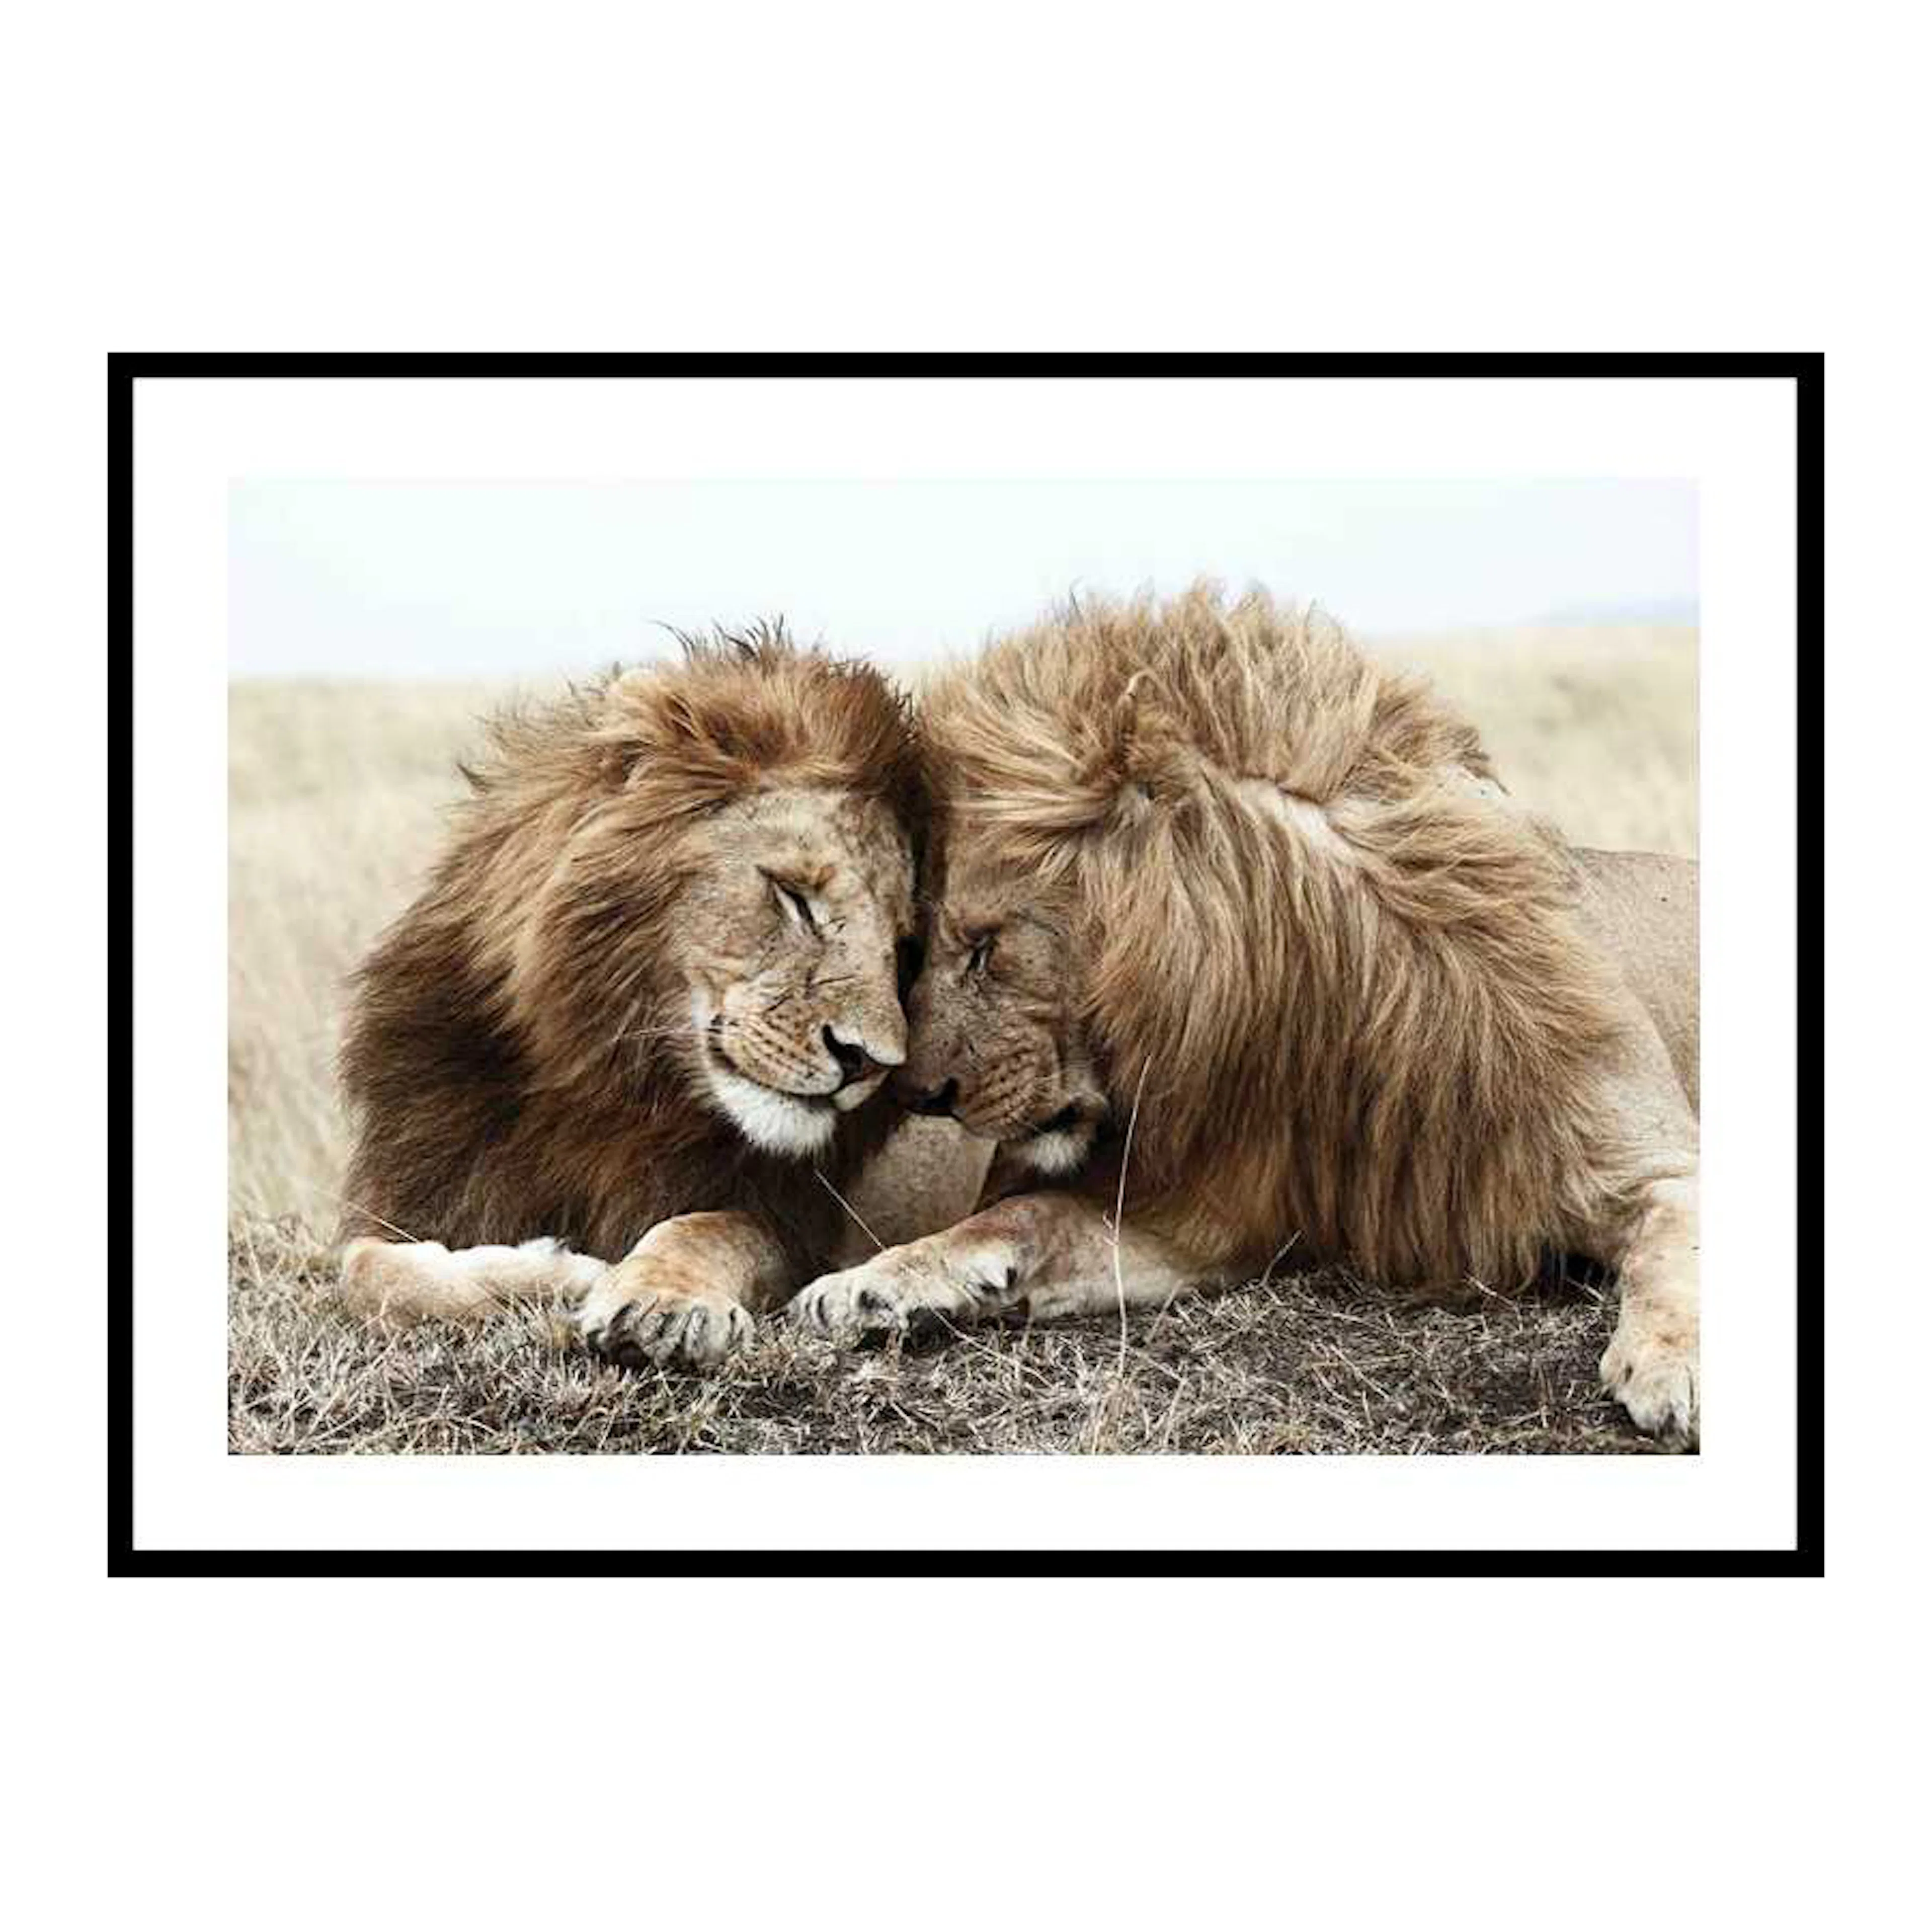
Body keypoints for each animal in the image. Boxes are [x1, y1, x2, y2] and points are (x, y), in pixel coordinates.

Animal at [336, 625, 930, 1371]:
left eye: (903, 947)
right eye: (795, 897)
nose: (869, 1063)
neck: (609, 1081)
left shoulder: (794, 1223)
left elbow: (707, 1227)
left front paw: (658, 1303)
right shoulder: (417, 1193)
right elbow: (365, 1271)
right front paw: (554, 1273)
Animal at [788, 585, 1701, 1447]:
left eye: (985, 947)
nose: (917, 1094)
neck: (1316, 1008)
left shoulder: (1652, 1158)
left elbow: (1677, 1244)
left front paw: (1674, 1369)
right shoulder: (1209, 1214)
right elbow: (1026, 1216)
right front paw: (872, 1284)